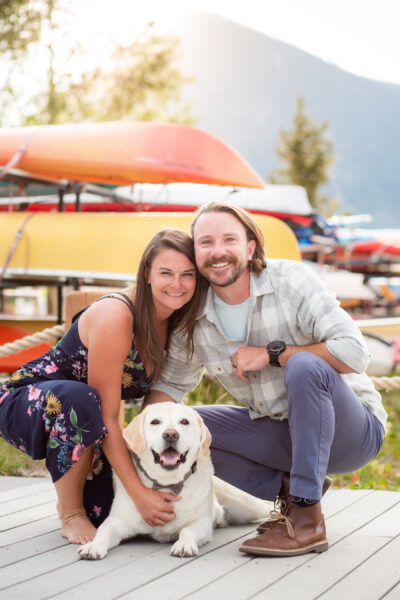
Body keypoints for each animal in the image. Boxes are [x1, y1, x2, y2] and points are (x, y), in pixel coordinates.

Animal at [78, 400, 272, 560]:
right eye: (155, 422)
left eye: (184, 422)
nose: (171, 434)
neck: (167, 483)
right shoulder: (117, 521)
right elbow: (103, 531)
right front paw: (93, 546)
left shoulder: (202, 522)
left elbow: (187, 530)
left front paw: (184, 545)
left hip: (247, 507)